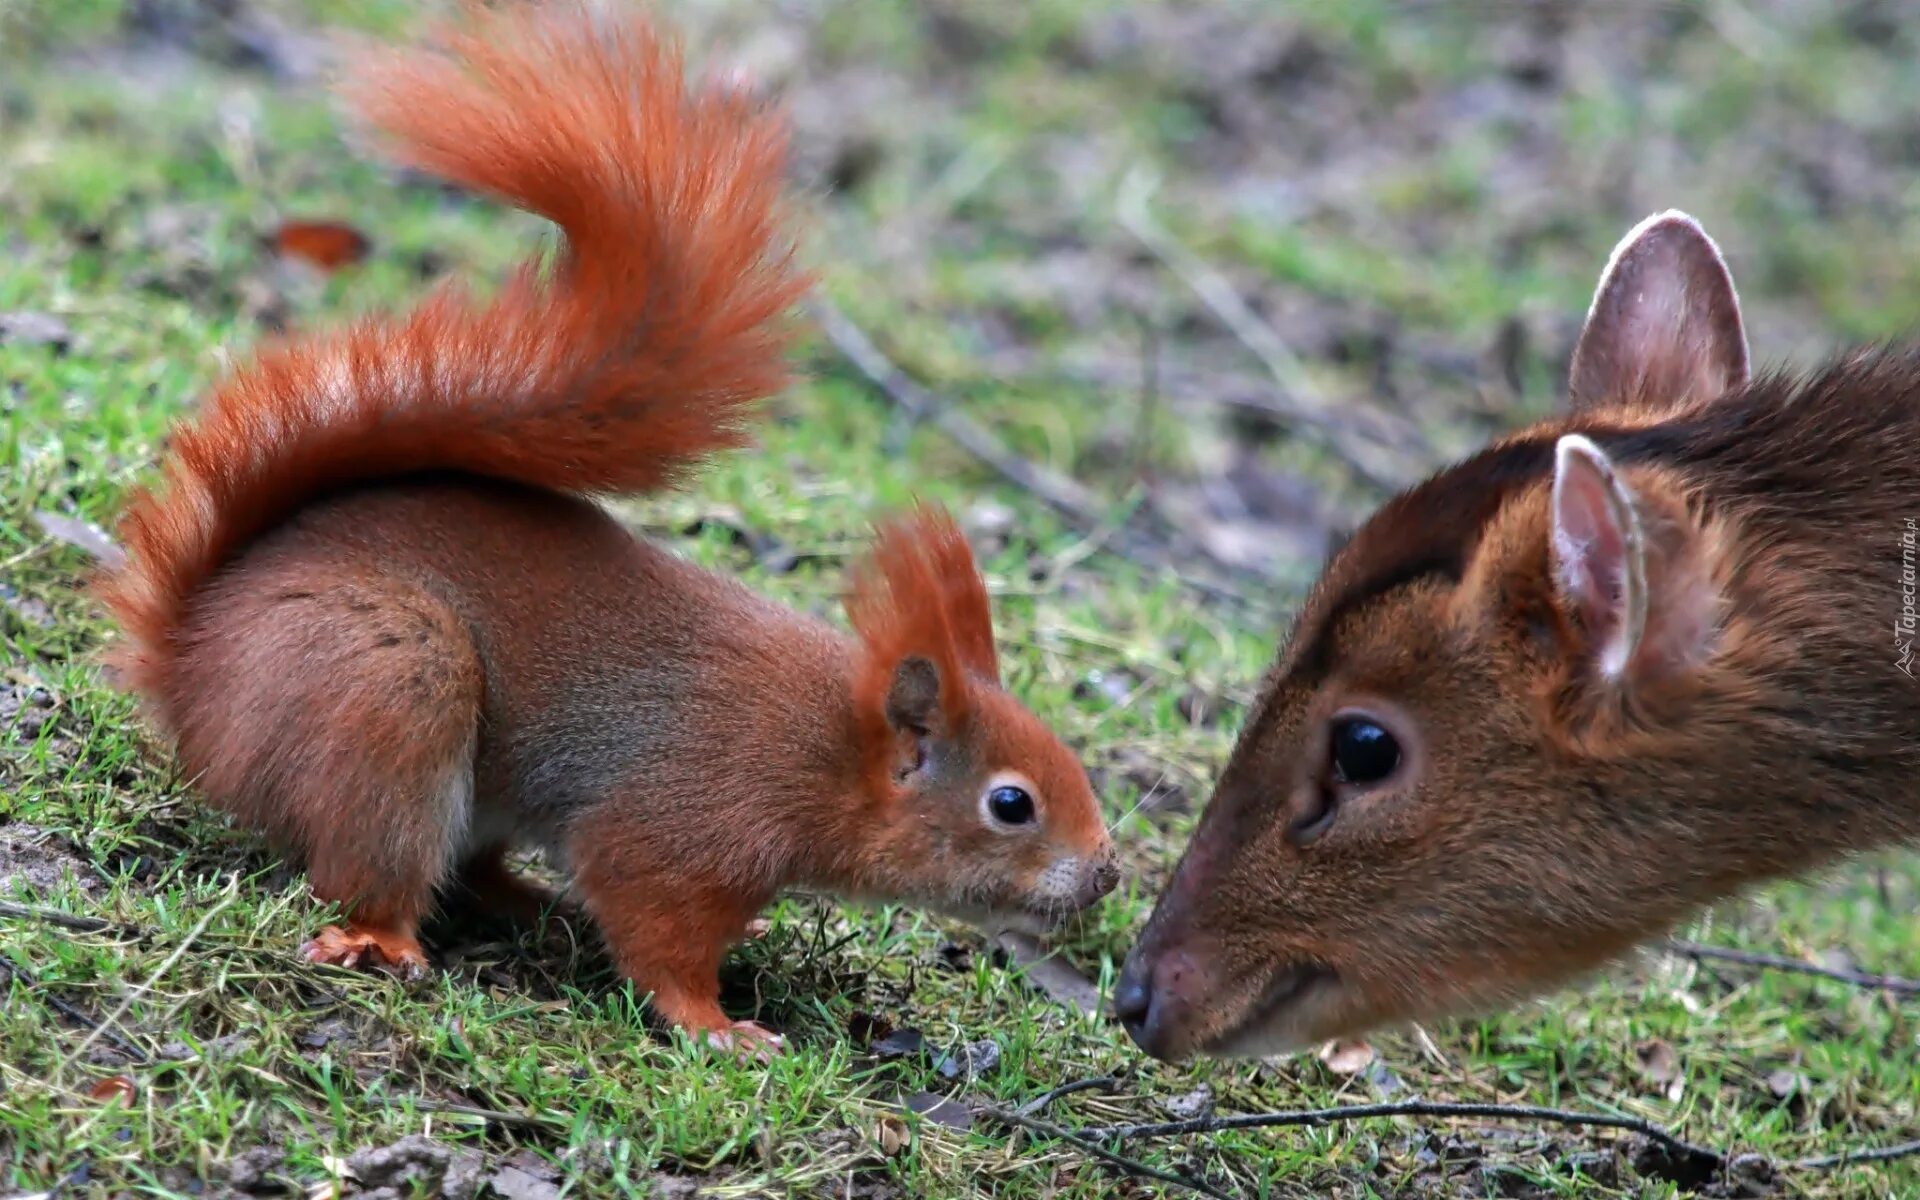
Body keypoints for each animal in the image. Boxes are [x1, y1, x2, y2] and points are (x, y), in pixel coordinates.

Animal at [97, 0, 1121, 1044]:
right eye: (1010, 804)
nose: (1108, 875)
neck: (828, 748)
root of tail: (190, 669)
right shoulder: (685, 819)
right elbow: (655, 925)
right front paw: (719, 1027)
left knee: (474, 867)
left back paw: (533, 903)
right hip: (390, 693)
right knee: (371, 860)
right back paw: (382, 937)